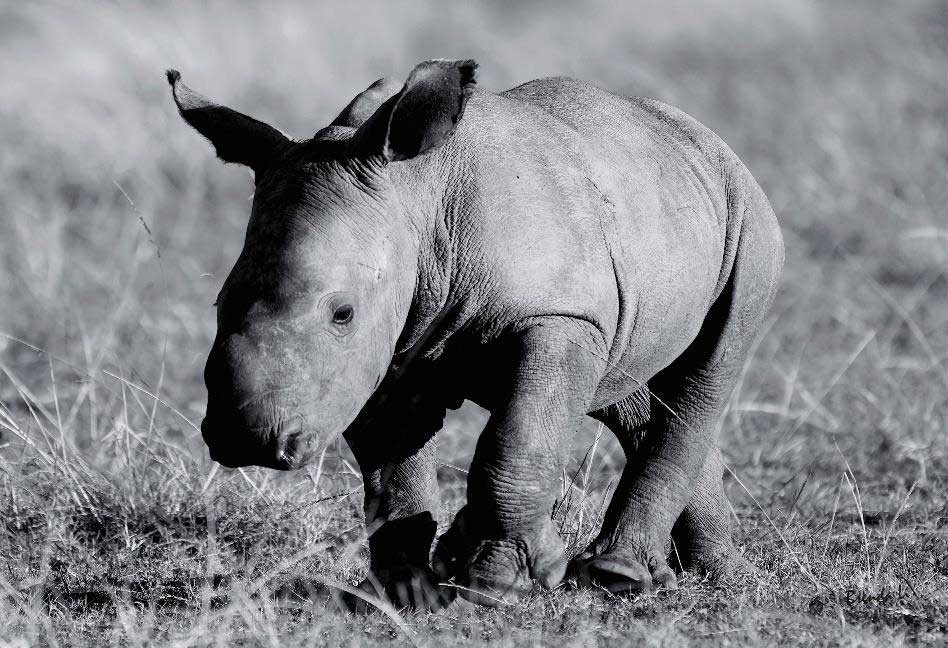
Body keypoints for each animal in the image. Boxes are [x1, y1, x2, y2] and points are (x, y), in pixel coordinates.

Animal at [167, 58, 783, 609]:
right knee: (623, 383)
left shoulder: (555, 316)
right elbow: (391, 467)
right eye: (220, 303)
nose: (244, 440)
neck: (418, 197)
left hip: (748, 218)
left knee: (705, 372)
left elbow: (518, 439)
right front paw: (404, 594)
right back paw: (709, 572)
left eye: (342, 314)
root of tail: (702, 139)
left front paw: (496, 585)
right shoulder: (388, 346)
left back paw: (623, 576)